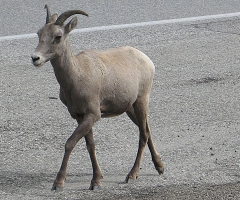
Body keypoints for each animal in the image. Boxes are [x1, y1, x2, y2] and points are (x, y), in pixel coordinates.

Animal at [31, 4, 163, 191]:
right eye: (39, 33)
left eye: (58, 36)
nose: (35, 58)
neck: (77, 76)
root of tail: (146, 60)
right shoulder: (80, 117)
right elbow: (90, 146)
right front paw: (96, 180)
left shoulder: (93, 115)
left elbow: (70, 143)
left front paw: (58, 183)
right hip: (129, 108)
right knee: (146, 129)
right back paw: (160, 167)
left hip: (141, 101)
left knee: (143, 133)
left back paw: (131, 175)